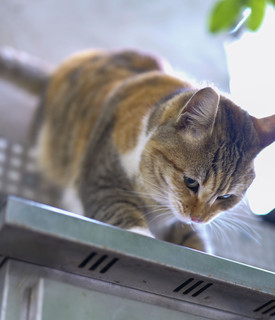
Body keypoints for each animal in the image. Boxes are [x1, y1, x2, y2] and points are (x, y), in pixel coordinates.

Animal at [0, 45, 274, 252]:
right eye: (191, 182)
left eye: (226, 197)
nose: (198, 217)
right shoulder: (102, 181)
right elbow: (126, 218)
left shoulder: (182, 223)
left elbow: (193, 240)